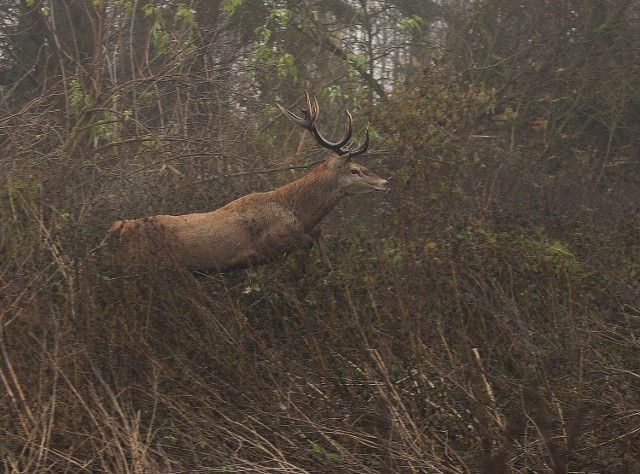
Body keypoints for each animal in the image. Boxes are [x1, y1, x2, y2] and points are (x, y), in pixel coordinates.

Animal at [107, 93, 390, 272]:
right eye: (355, 170)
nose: (386, 182)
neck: (297, 210)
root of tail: (122, 227)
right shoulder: (270, 244)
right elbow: (308, 243)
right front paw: (305, 272)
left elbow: (318, 235)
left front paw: (320, 268)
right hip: (139, 265)